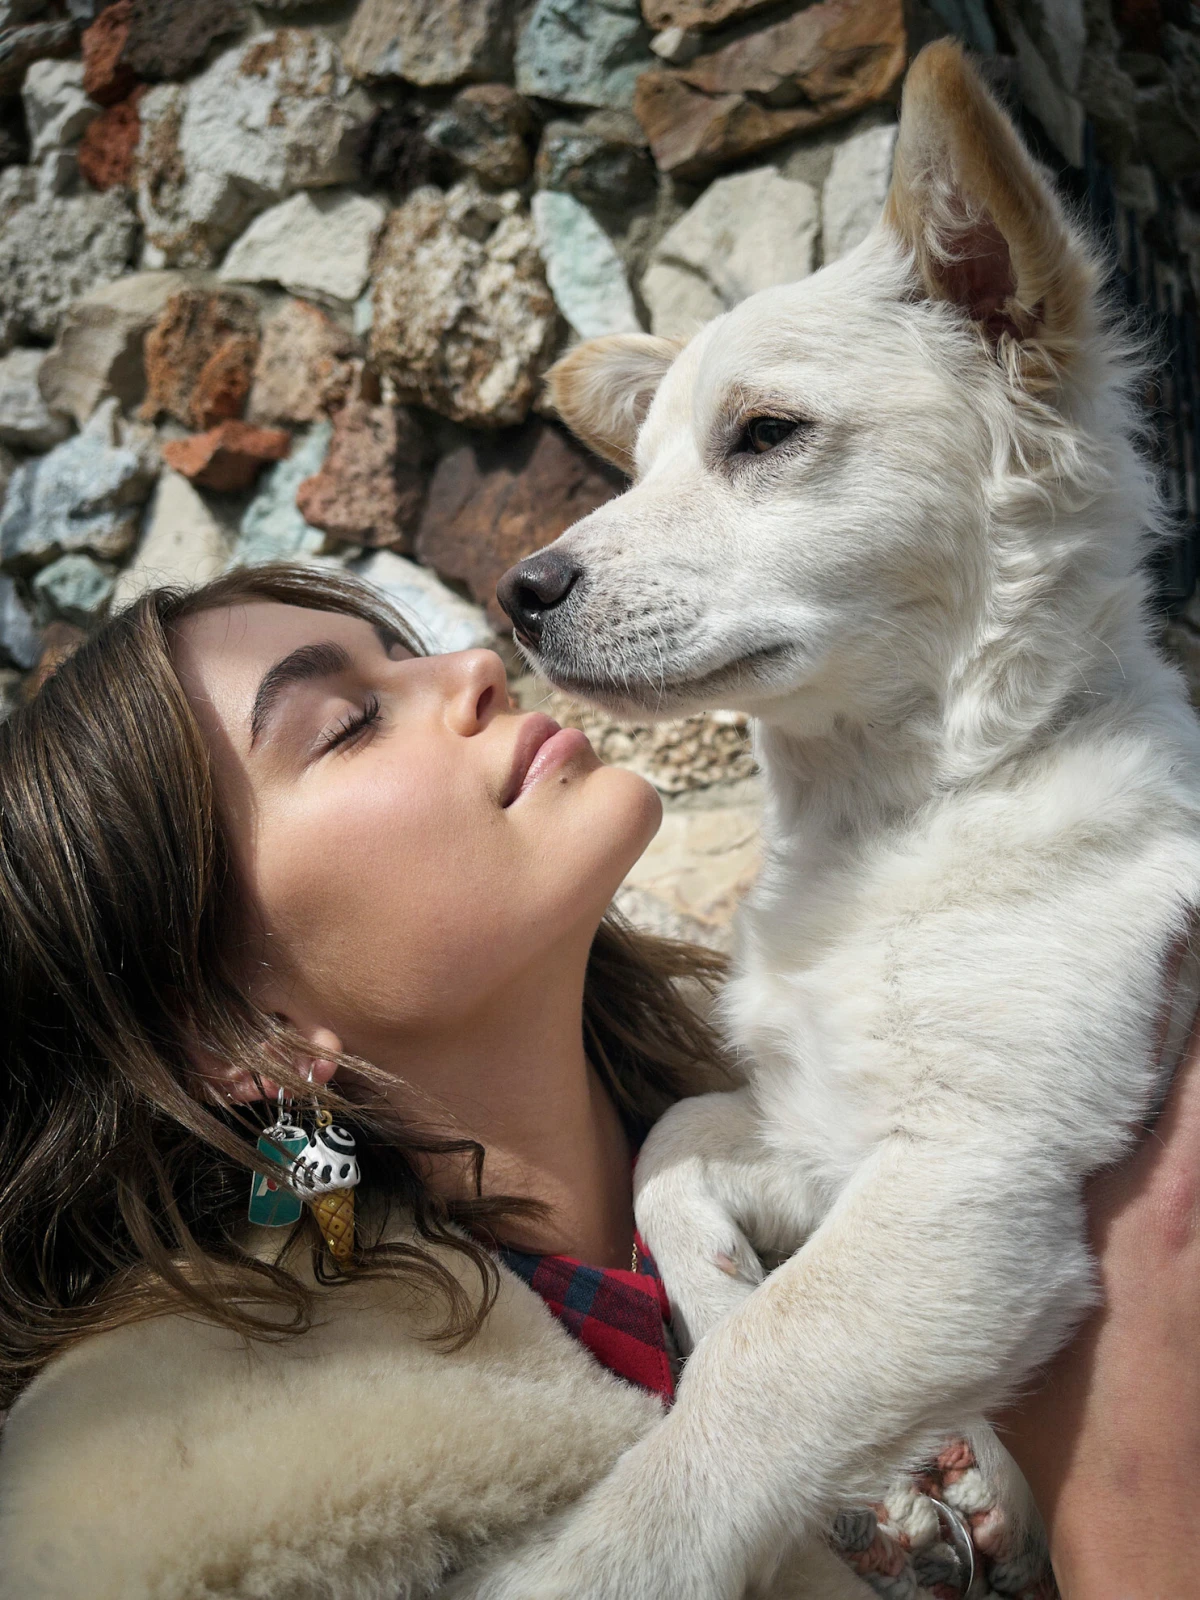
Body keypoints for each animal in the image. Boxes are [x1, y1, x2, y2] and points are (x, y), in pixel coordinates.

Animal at [457, 37, 1200, 1600]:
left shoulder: (971, 1181)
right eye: (640, 470)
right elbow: (674, 1149)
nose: (519, 593)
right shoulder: (822, 1132)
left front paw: (606, 1555)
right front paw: (896, 1456)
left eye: (767, 436)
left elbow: (755, 1393)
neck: (890, 823)